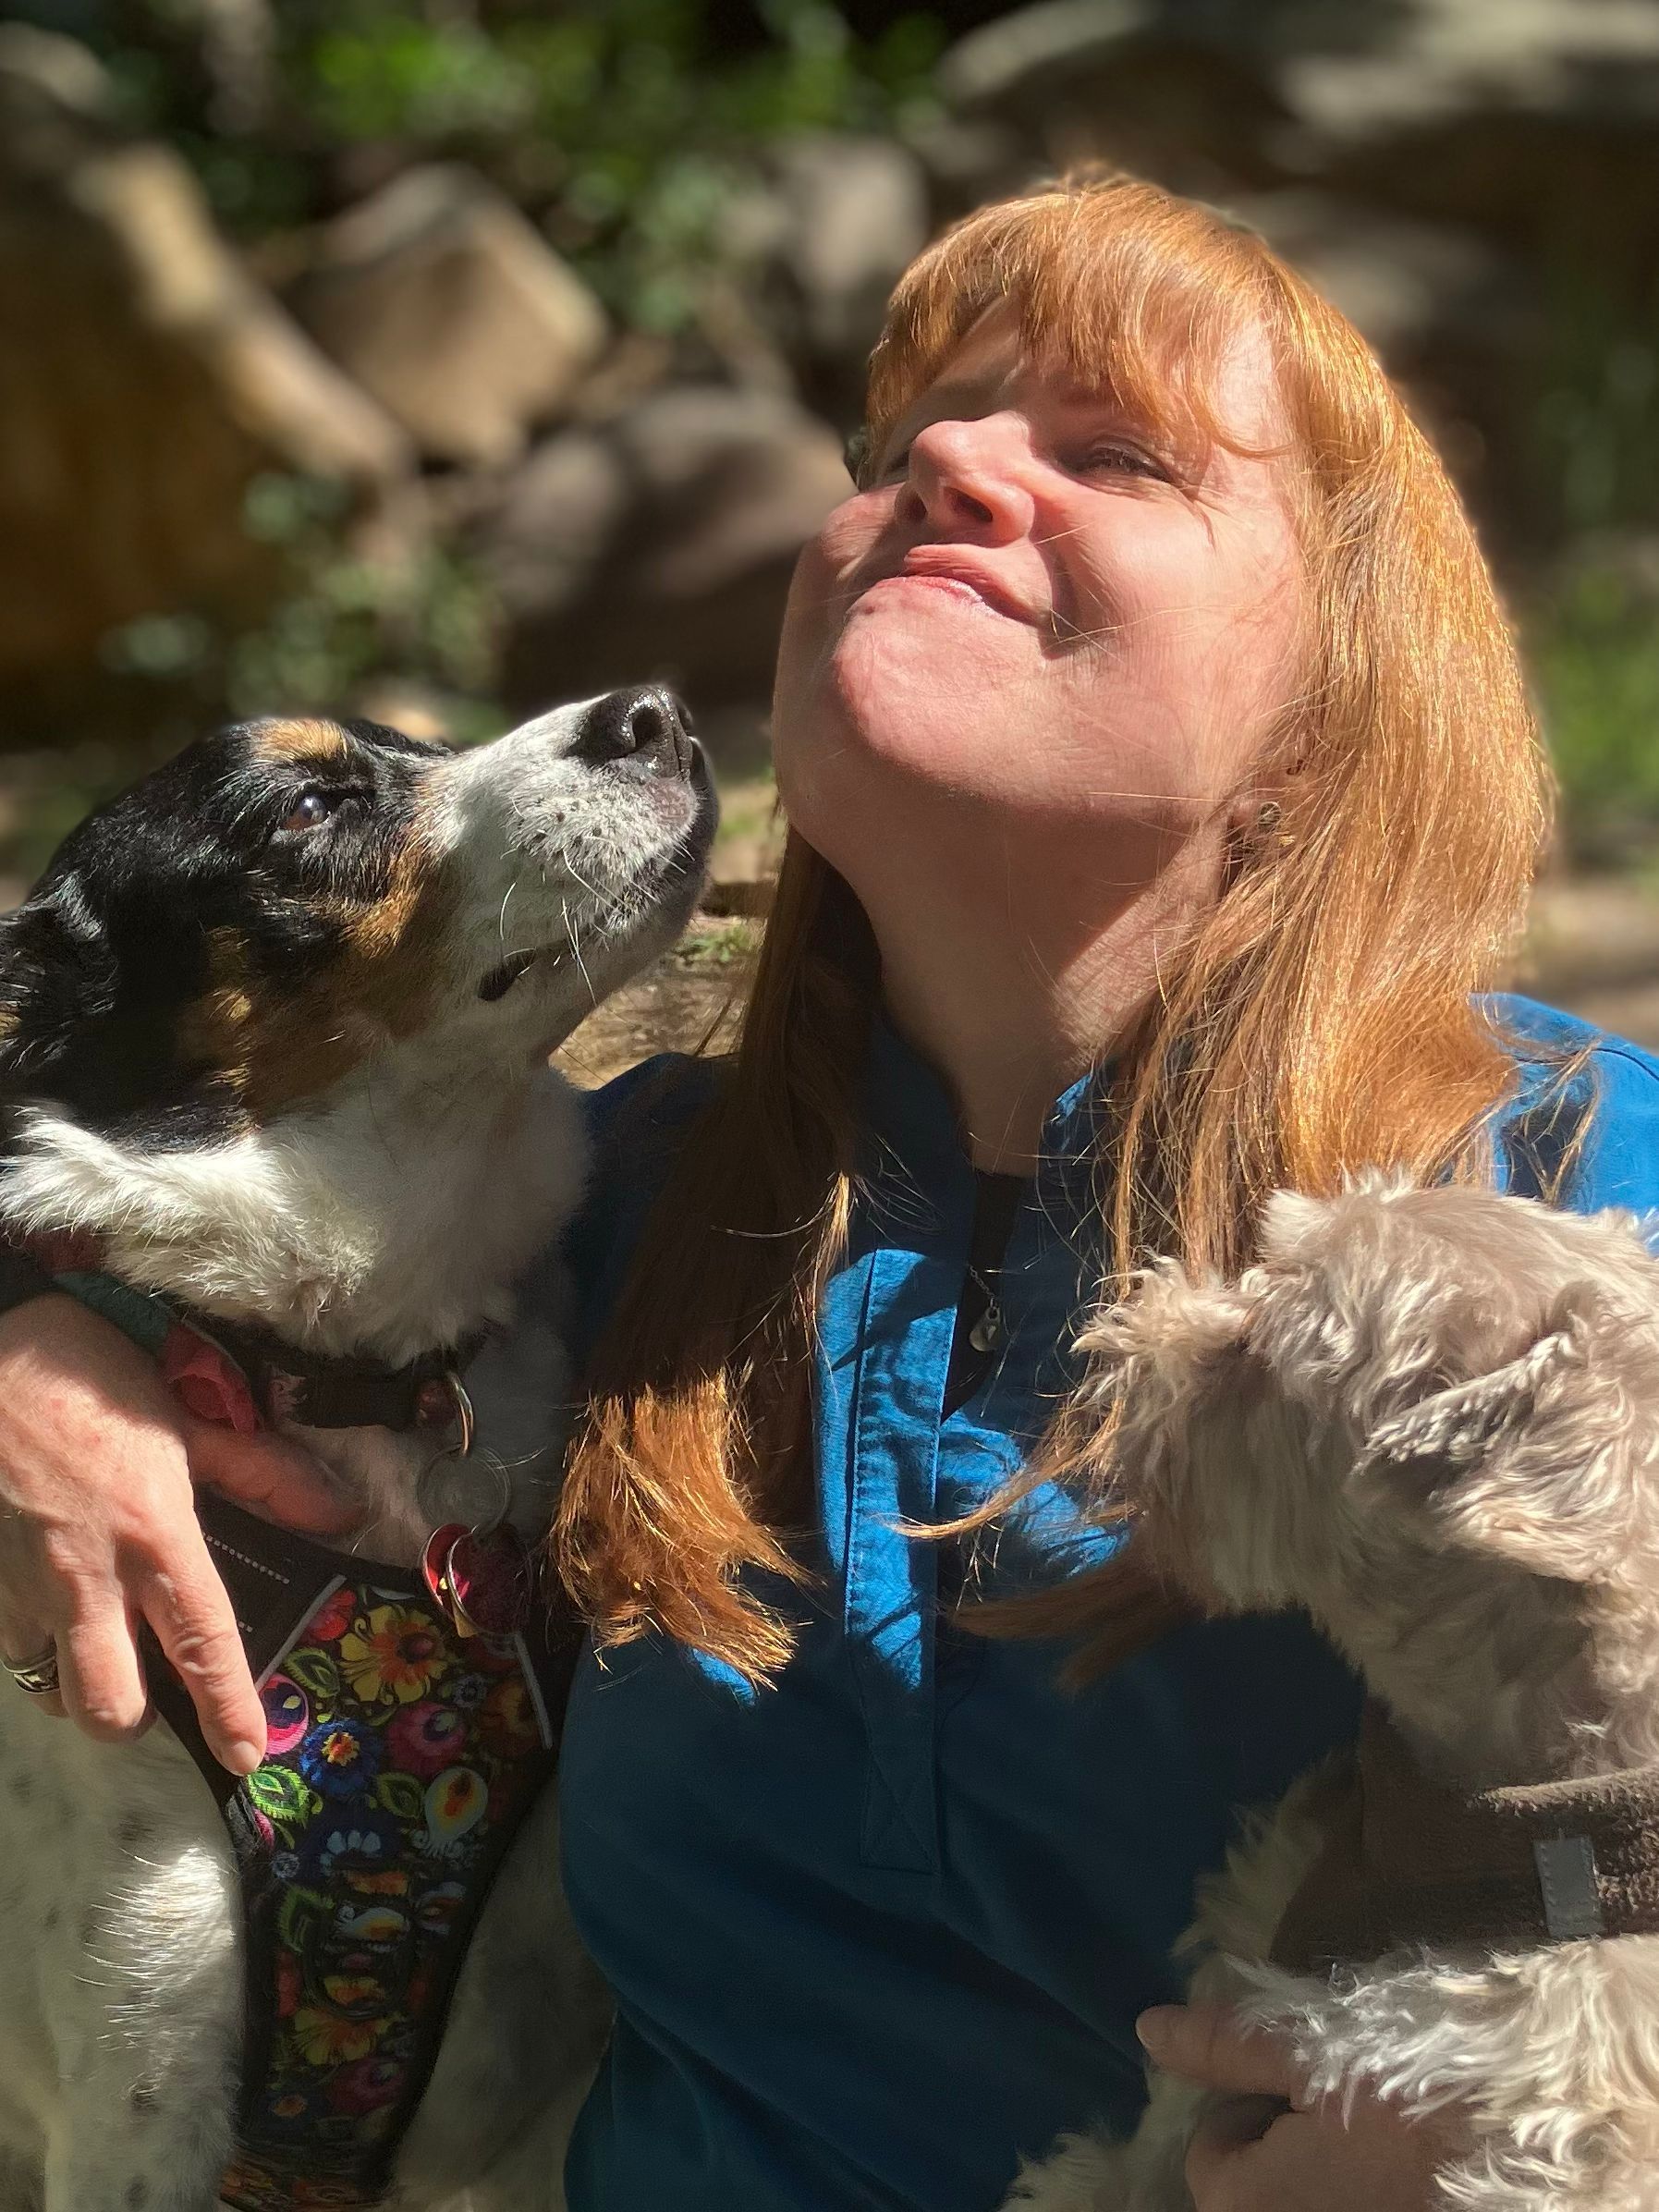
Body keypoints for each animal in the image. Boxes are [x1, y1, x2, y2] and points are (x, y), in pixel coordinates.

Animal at [0, 689, 715, 2210]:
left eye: (428, 746)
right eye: (306, 808)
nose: (659, 712)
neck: (365, 1383)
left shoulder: (536, 2103)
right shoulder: (138, 2118)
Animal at [1005, 1175, 1659, 2211]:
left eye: (1252, 1347)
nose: (1128, 1313)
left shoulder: (1580, 2115)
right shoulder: (1260, 1926)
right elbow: (1162, 2127)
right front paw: (1087, 2184)